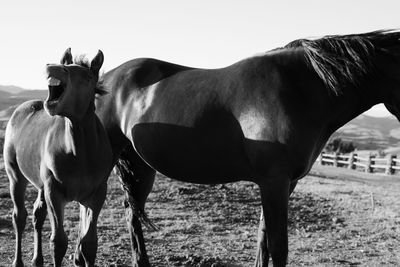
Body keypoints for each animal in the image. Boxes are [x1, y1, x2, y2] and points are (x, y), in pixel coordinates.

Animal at [3, 48, 112, 267]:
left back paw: (37, 260)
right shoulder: (54, 191)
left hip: (40, 185)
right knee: (19, 217)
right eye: (65, 65)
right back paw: (18, 261)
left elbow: (89, 244)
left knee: (37, 215)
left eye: (87, 76)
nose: (53, 67)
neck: (80, 153)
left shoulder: (95, 195)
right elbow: (59, 242)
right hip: (16, 177)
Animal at [94, 30, 400, 266]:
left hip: (141, 166)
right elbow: (277, 246)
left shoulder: (281, 183)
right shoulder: (274, 181)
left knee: (131, 213)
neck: (298, 90)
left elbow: (263, 239)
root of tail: (106, 79)